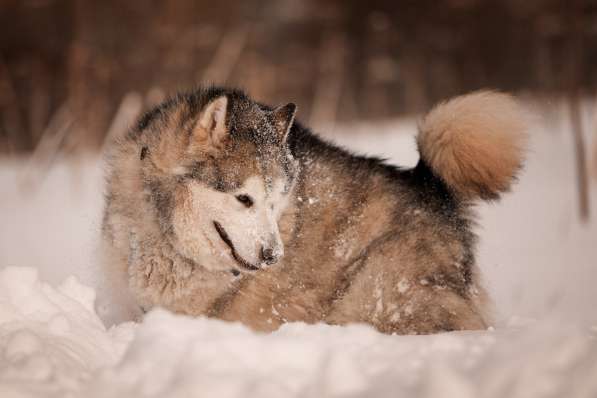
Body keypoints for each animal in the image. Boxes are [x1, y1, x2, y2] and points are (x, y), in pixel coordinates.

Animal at [101, 86, 528, 332]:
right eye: (244, 198)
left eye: (275, 202)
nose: (273, 257)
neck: (164, 234)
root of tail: (430, 185)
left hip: (376, 291)